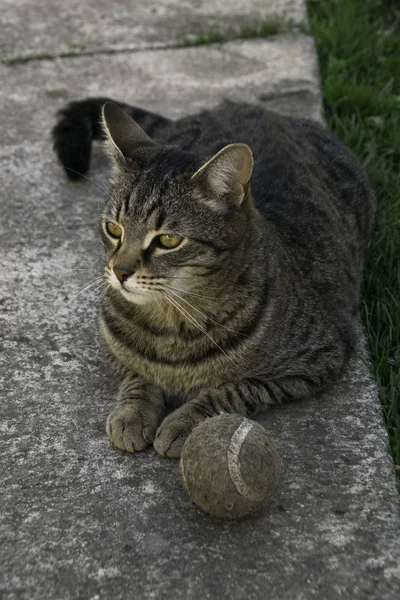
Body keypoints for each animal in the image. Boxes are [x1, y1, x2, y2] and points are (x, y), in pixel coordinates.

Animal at [53, 98, 376, 458]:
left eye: (168, 240)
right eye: (114, 229)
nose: (120, 271)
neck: (172, 323)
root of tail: (237, 105)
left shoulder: (315, 359)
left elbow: (233, 391)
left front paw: (184, 423)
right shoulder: (113, 348)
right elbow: (137, 375)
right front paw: (133, 414)